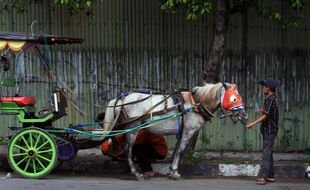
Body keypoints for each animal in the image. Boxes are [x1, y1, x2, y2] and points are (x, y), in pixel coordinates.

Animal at [103, 82, 248, 180]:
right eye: (234, 99)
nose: (244, 115)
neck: (196, 104)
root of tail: (122, 98)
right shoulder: (189, 131)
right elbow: (181, 151)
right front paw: (175, 172)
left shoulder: (182, 131)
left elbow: (177, 151)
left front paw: (171, 170)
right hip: (133, 127)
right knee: (128, 148)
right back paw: (136, 172)